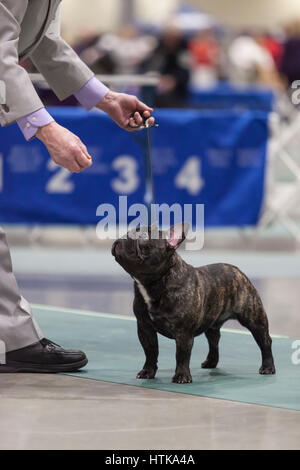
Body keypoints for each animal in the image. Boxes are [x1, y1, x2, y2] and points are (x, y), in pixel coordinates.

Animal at [111, 224, 276, 382]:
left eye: (144, 237)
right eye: (129, 231)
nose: (124, 237)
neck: (153, 283)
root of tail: (238, 271)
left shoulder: (183, 333)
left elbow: (182, 355)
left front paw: (182, 376)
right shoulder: (145, 328)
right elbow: (150, 352)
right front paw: (147, 372)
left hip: (254, 319)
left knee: (265, 341)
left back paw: (268, 367)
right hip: (211, 322)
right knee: (214, 340)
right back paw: (211, 362)